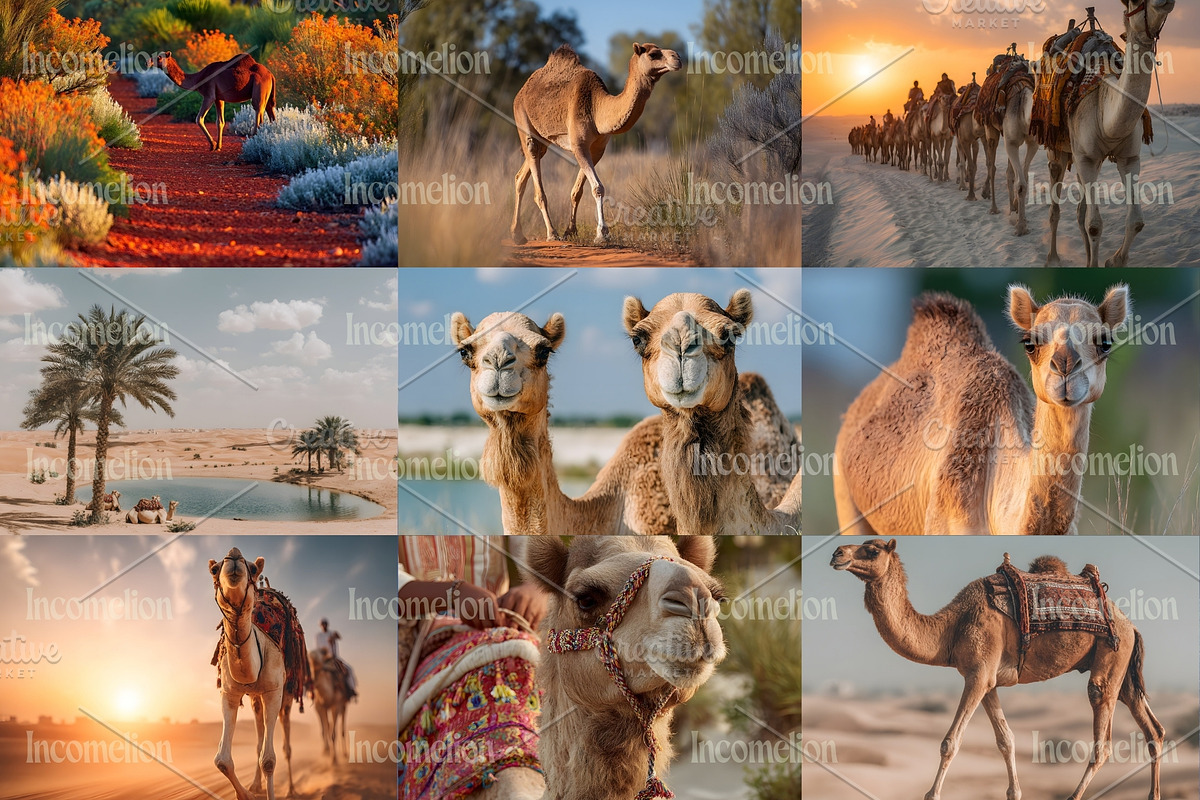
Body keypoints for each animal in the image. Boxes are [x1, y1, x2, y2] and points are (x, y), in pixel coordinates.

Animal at [209, 548, 300, 800]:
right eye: (214, 569)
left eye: (252, 567)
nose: (234, 555)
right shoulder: (229, 693)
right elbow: (222, 761)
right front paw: (248, 794)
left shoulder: (273, 691)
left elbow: (268, 760)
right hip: (255, 699)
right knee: (259, 738)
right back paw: (256, 785)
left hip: (287, 693)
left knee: (286, 744)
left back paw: (291, 789)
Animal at [510, 43, 680, 244]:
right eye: (654, 54)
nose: (677, 58)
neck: (596, 108)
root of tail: (520, 92)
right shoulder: (579, 145)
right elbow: (598, 188)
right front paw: (602, 234)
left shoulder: (598, 149)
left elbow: (578, 191)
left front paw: (571, 231)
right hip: (523, 121)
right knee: (535, 170)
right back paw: (551, 233)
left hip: (543, 140)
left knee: (520, 176)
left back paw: (517, 234)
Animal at [832, 538, 1164, 800]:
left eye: (872, 550)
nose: (837, 553)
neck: (953, 627)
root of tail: (1130, 624)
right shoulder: (987, 680)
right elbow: (1006, 740)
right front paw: (1014, 792)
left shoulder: (978, 675)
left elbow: (950, 742)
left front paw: (932, 794)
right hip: (1124, 673)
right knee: (1153, 730)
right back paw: (1153, 793)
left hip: (1112, 652)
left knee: (1102, 736)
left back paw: (1075, 794)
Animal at [1041, 0, 1174, 266]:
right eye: (1135, 2)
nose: (1163, 1)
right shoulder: (1086, 158)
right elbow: (1094, 225)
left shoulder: (1128, 158)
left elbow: (1136, 221)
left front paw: (1112, 261)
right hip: (1057, 149)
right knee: (1055, 207)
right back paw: (1053, 257)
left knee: (1080, 210)